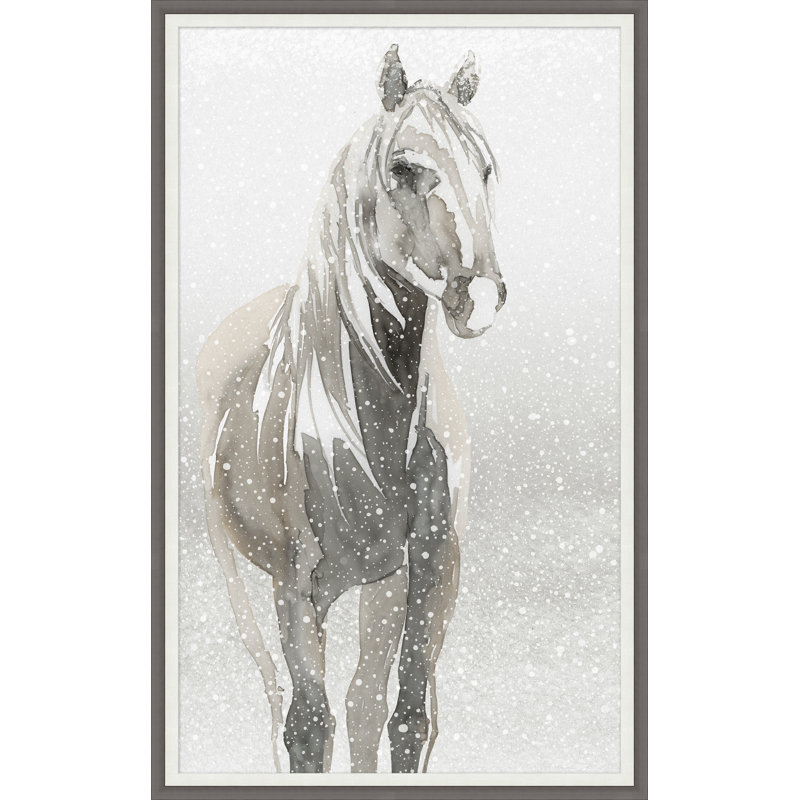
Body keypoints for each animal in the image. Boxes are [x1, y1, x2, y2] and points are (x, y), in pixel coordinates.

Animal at [196, 45, 506, 774]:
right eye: (405, 168)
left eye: (484, 167)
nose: (480, 297)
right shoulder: (296, 585)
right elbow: (308, 726)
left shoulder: (431, 568)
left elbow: (407, 718)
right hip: (240, 572)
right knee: (273, 690)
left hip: (380, 586)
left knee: (365, 703)